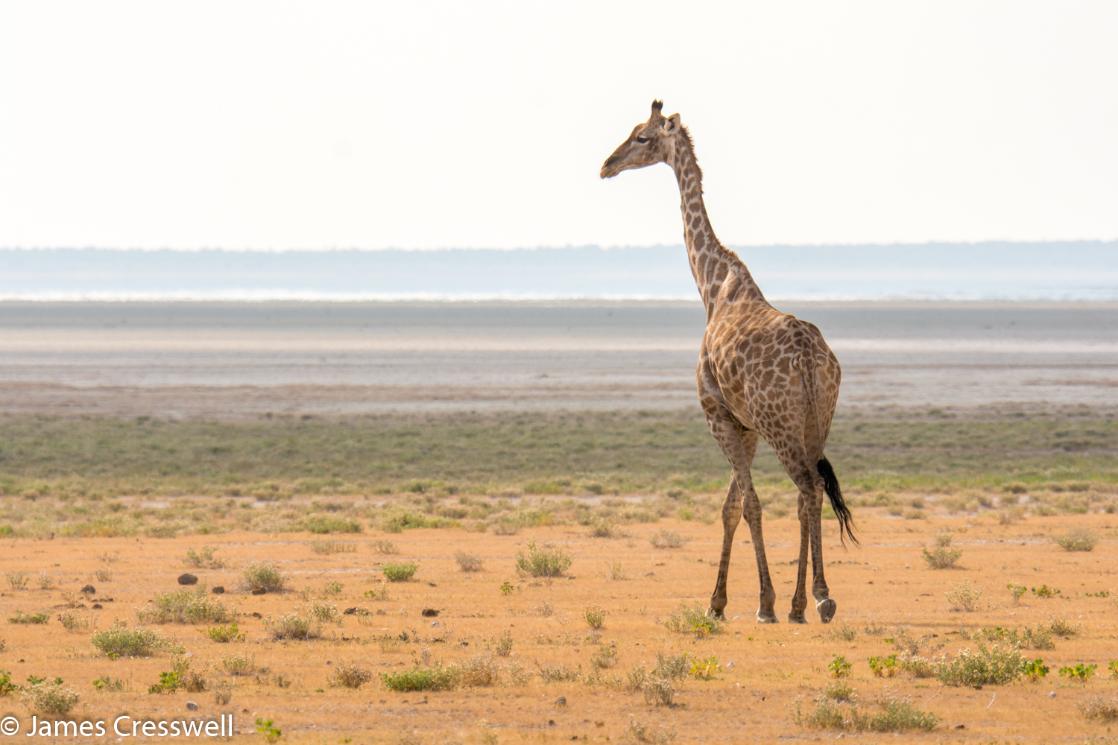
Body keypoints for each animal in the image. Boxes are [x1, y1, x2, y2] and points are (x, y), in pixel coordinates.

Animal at [603, 100, 854, 621]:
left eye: (641, 138)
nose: (607, 165)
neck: (713, 285)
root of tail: (809, 362)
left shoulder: (717, 413)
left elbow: (749, 505)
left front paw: (761, 603)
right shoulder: (746, 425)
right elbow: (731, 507)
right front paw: (718, 602)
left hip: (782, 424)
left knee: (806, 488)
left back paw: (816, 598)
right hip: (816, 420)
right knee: (809, 494)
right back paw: (806, 601)